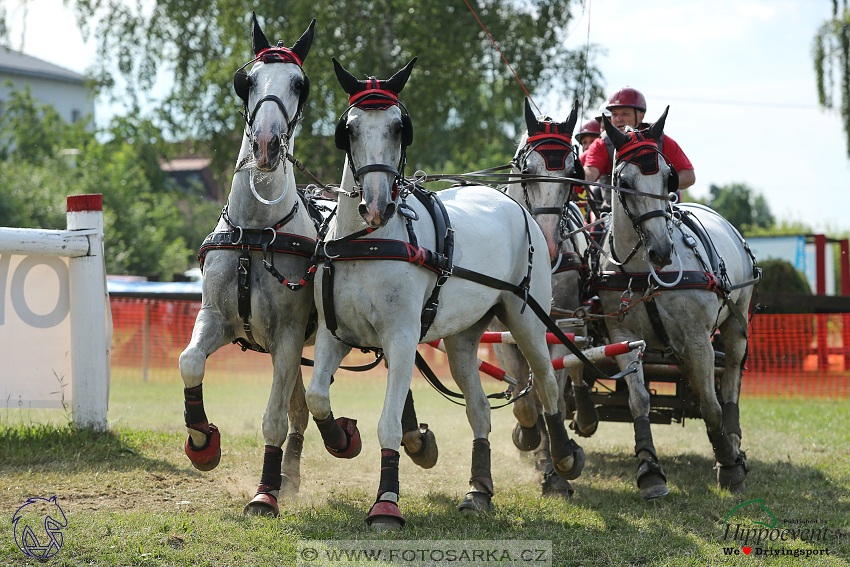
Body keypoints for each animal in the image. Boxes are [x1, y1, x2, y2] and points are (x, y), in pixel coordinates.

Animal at [176, 13, 318, 520]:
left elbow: (273, 418)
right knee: (302, 409)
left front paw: (264, 493)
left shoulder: (288, 336)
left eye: (299, 84)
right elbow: (190, 362)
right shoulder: (217, 317)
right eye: (248, 81)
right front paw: (202, 441)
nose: (266, 144)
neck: (256, 234)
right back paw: (295, 473)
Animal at [490, 100, 596, 500]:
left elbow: (553, 390)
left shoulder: (560, 326)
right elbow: (524, 401)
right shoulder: (500, 333)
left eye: (572, 173)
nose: (549, 244)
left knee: (575, 371)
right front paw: (529, 435)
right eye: (527, 171)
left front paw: (558, 469)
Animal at [588, 110, 756, 496]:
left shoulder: (698, 339)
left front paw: (729, 464)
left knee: (730, 379)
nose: (662, 251)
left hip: (735, 323)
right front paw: (649, 469)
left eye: (669, 176)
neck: (645, 273)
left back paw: (733, 438)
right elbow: (639, 401)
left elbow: (710, 405)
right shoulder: (622, 336)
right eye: (623, 180)